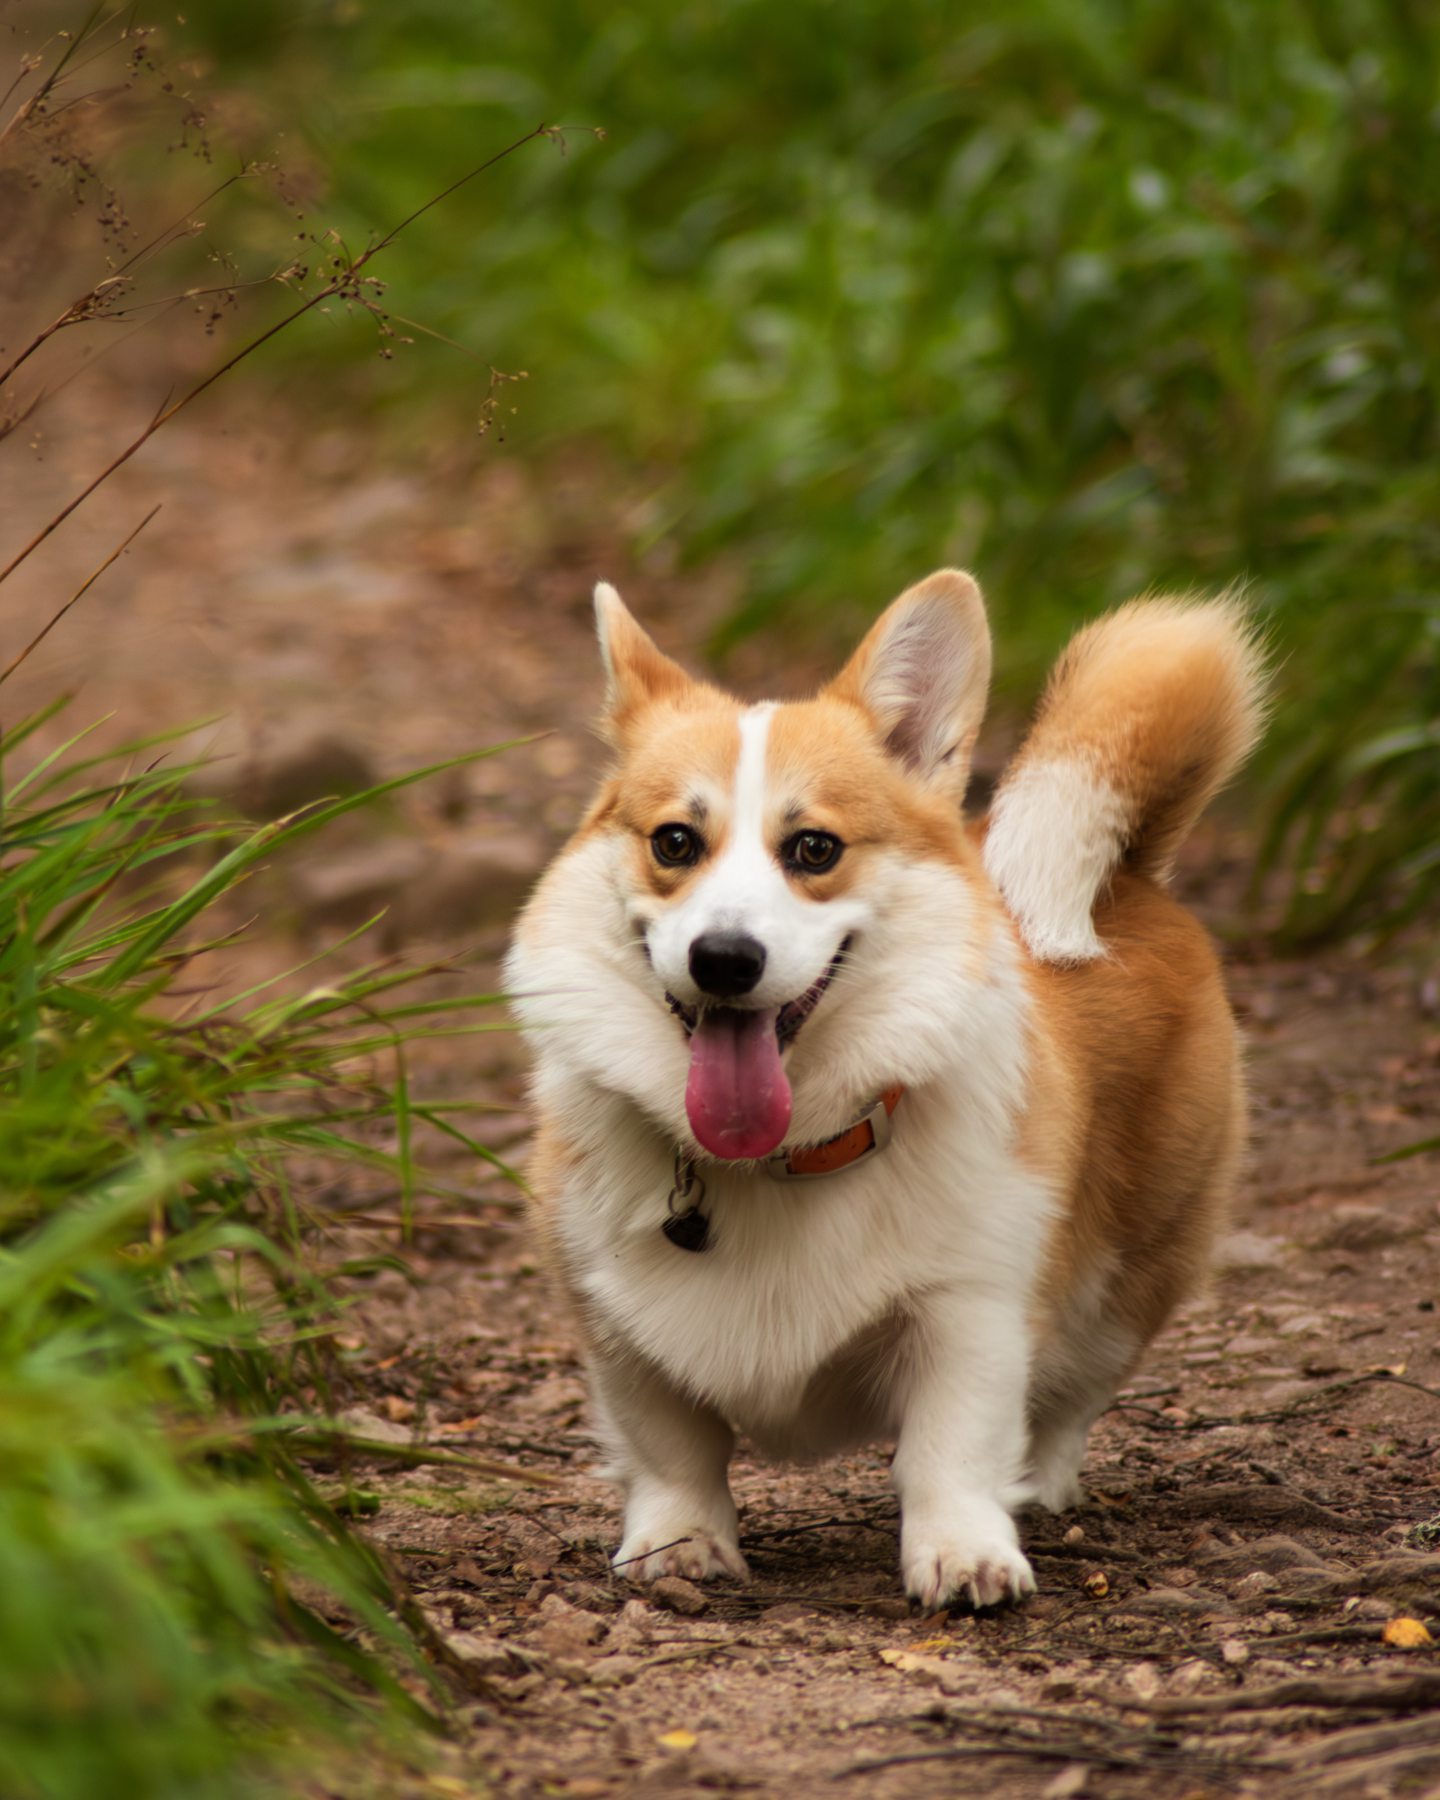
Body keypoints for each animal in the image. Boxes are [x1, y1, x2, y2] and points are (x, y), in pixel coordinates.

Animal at [507, 568, 1260, 1612]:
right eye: (675, 841)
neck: (784, 1158)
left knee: (1070, 1397)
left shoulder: (967, 1310)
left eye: (815, 849)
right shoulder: (616, 1329)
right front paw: (677, 1545)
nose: (724, 959)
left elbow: (952, 1448)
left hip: (1132, 1271)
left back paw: (1039, 1484)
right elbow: (671, 1450)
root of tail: (1135, 881)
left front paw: (964, 1553)